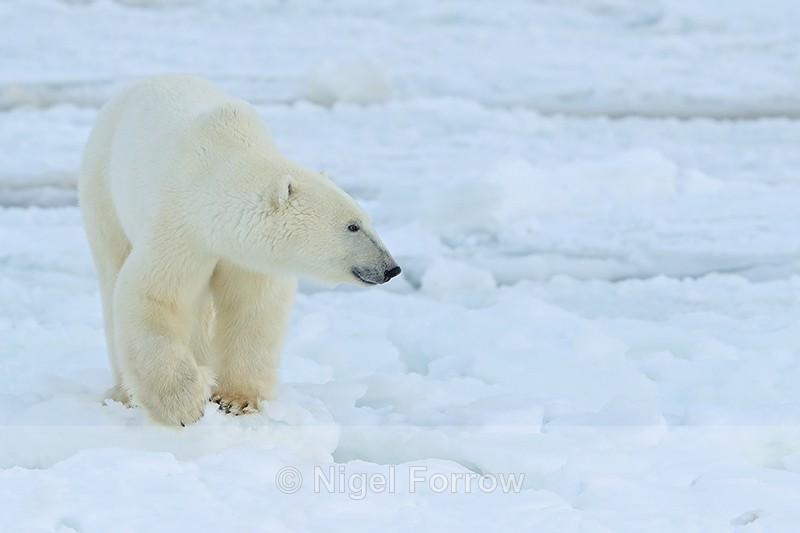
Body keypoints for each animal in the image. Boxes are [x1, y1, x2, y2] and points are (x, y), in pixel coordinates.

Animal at [78, 74, 401, 426]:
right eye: (353, 226)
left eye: (368, 221)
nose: (391, 268)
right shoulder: (181, 228)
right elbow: (153, 295)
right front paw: (185, 404)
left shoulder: (246, 256)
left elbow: (252, 307)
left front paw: (237, 400)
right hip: (103, 188)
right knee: (112, 273)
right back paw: (124, 392)